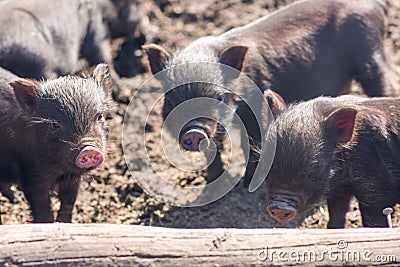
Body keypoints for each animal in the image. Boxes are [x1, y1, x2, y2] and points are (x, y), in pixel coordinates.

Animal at [0, 63, 110, 223]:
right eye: (55, 124)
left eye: (99, 116)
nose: (88, 149)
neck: (60, 169)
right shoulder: (31, 176)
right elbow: (41, 207)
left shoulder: (72, 179)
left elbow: (69, 201)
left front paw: (65, 222)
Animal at [142, 0, 396, 186]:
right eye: (170, 100)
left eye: (218, 98)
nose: (194, 132)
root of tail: (374, 4)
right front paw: (212, 182)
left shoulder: (257, 111)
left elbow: (252, 144)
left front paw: (246, 184)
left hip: (370, 49)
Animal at [262, 91, 400, 228]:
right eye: (268, 165)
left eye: (312, 168)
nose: (279, 207)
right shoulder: (339, 191)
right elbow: (337, 214)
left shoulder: (378, 187)